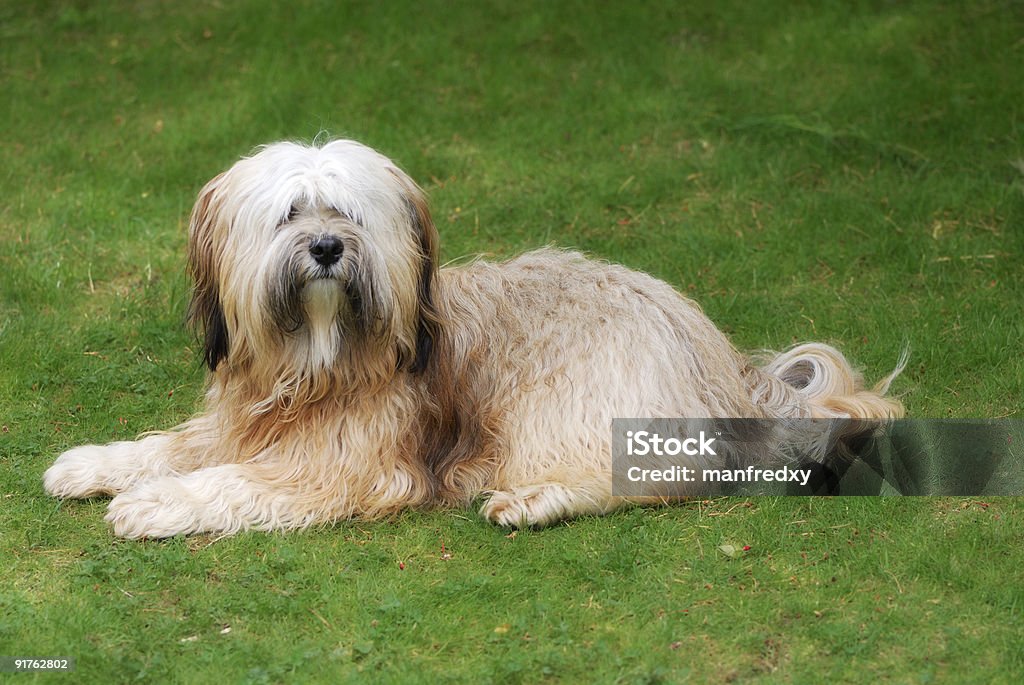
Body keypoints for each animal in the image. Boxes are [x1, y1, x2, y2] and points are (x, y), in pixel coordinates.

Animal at [41, 139, 905, 536]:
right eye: (290, 214)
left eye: (349, 215)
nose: (326, 249)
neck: (317, 363)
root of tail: (720, 362)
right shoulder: (242, 420)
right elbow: (174, 445)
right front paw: (93, 465)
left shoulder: (349, 465)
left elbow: (233, 481)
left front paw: (156, 504)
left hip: (572, 399)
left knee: (649, 477)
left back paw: (532, 498)